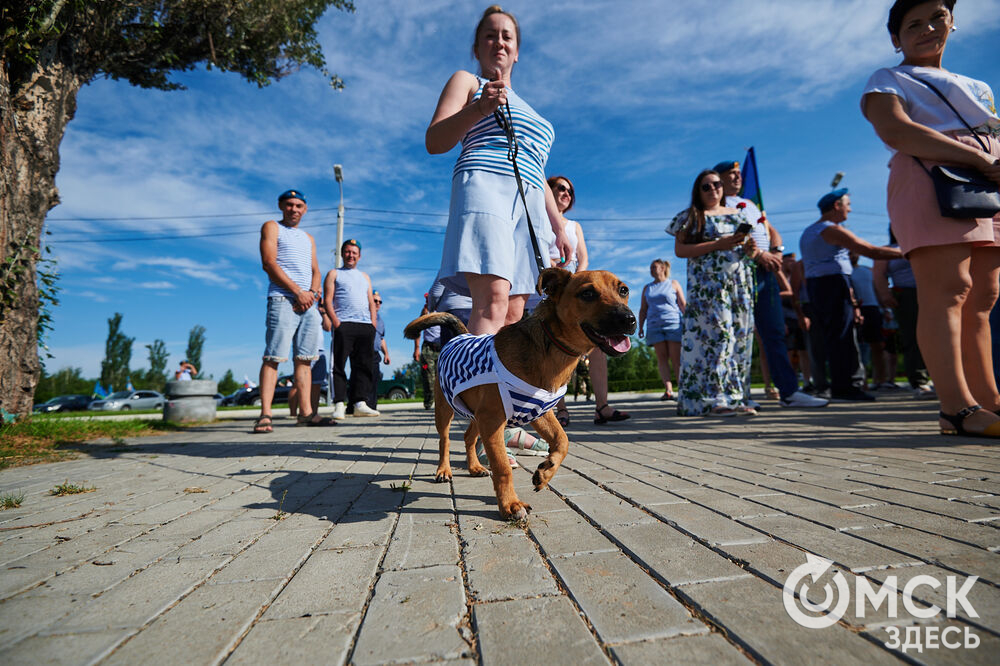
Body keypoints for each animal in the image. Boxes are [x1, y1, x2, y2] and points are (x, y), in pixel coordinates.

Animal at [404, 268, 632, 520]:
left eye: (624, 290)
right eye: (588, 293)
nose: (629, 320)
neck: (551, 349)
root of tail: (460, 335)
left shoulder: (539, 413)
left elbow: (563, 440)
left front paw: (546, 472)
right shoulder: (493, 421)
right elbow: (502, 467)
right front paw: (510, 505)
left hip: (476, 414)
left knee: (468, 437)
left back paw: (474, 467)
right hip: (447, 410)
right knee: (444, 440)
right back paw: (444, 470)